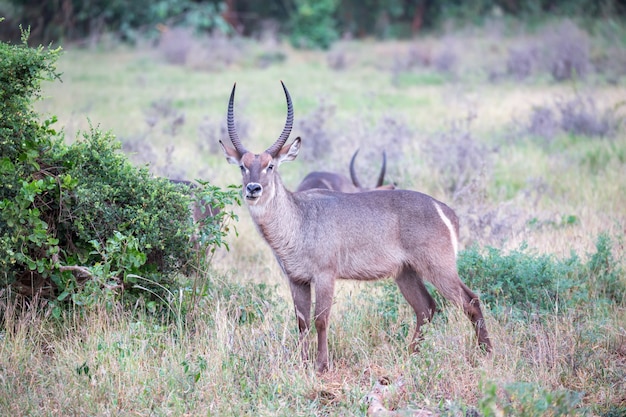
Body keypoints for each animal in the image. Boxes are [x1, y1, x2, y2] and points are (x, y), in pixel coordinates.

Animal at [217, 80, 490, 370]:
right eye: (243, 166)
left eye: (270, 166)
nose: (253, 189)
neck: (298, 219)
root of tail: (446, 210)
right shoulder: (296, 279)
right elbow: (301, 322)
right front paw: (302, 364)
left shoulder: (325, 275)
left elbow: (320, 319)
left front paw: (322, 366)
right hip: (405, 272)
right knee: (426, 307)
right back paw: (410, 355)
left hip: (438, 266)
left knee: (470, 300)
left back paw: (486, 353)